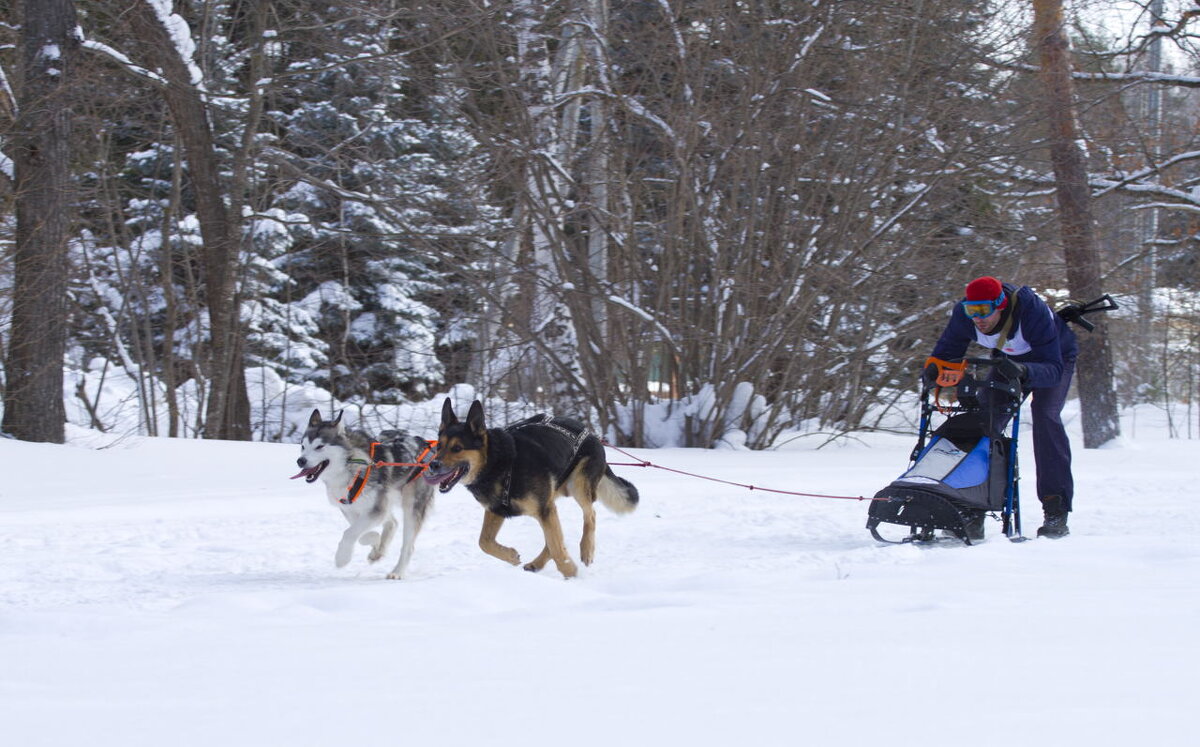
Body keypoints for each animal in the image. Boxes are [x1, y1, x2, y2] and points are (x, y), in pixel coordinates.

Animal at [290, 410, 436, 578]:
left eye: (319, 446)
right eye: (303, 446)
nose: (300, 461)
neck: (349, 464)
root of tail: (426, 445)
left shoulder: (375, 509)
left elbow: (349, 533)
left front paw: (342, 558)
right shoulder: (351, 509)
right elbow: (360, 534)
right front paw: (375, 543)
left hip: (411, 505)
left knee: (408, 546)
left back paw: (397, 572)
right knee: (393, 522)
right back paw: (379, 551)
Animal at [427, 398, 643, 578]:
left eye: (457, 448)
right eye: (438, 446)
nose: (433, 465)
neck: (500, 463)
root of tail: (592, 434)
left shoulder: (543, 509)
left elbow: (557, 546)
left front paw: (571, 573)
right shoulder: (497, 510)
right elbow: (484, 542)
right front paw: (511, 555)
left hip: (578, 486)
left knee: (590, 515)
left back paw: (586, 549)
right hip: (553, 499)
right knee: (555, 537)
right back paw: (537, 563)